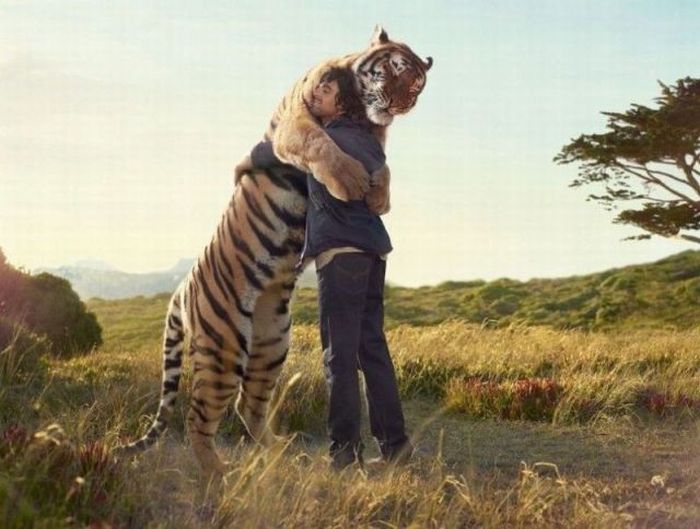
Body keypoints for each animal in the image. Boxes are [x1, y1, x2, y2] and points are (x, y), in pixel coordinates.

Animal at [117, 26, 432, 481]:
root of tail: (181, 288)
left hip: (271, 343)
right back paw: (220, 473)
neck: (358, 110)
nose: (401, 103)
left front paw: (378, 195)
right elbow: (321, 144)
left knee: (247, 406)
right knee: (198, 418)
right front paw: (352, 181)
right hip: (225, 349)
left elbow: (384, 165)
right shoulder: (295, 124)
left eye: (418, 86)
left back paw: (281, 455)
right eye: (395, 67)